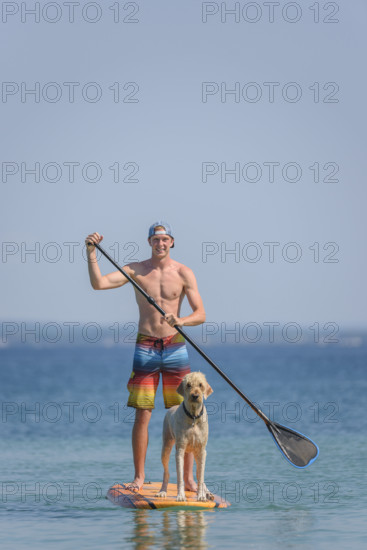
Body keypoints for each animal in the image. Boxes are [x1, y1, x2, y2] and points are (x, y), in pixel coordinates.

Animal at [156, 374, 214, 502]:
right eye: (188, 385)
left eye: (201, 385)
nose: (195, 395)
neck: (193, 417)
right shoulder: (180, 450)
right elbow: (180, 476)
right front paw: (181, 495)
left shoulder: (202, 450)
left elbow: (201, 476)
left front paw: (202, 495)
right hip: (166, 447)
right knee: (166, 472)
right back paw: (162, 491)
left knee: (198, 474)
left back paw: (208, 493)